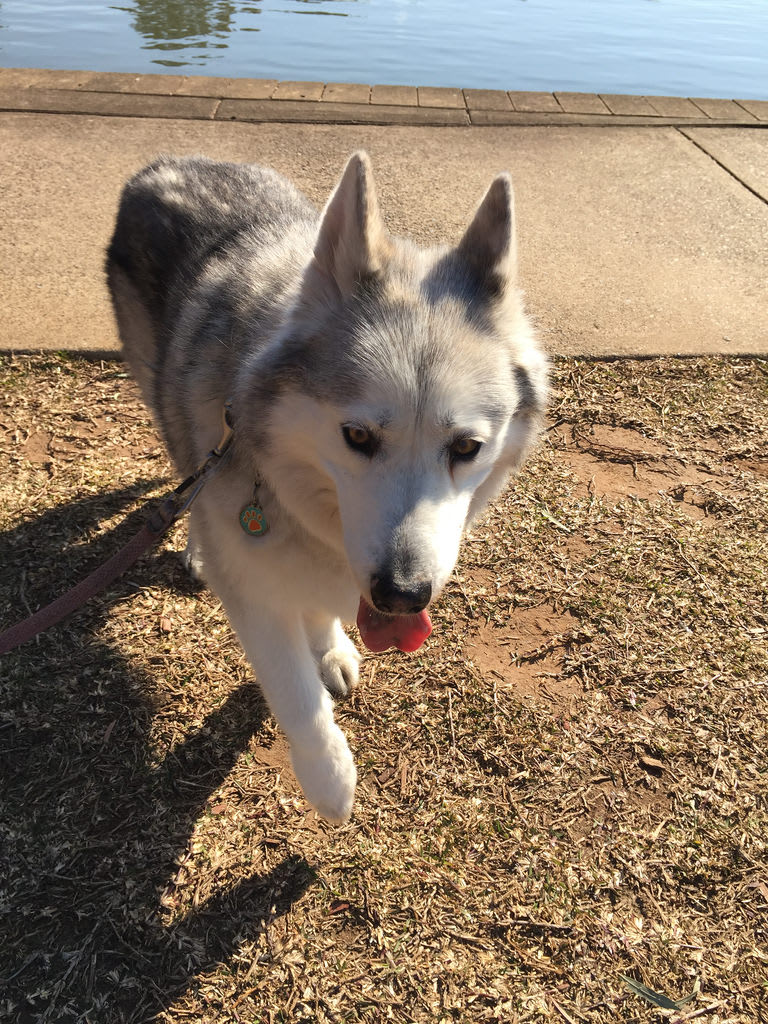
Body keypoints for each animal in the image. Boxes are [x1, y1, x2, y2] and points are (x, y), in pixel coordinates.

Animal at [106, 151, 547, 822]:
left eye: (466, 448)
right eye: (357, 436)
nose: (402, 595)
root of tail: (168, 161)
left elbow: (318, 605)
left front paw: (330, 647)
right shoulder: (255, 592)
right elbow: (294, 694)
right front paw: (329, 779)